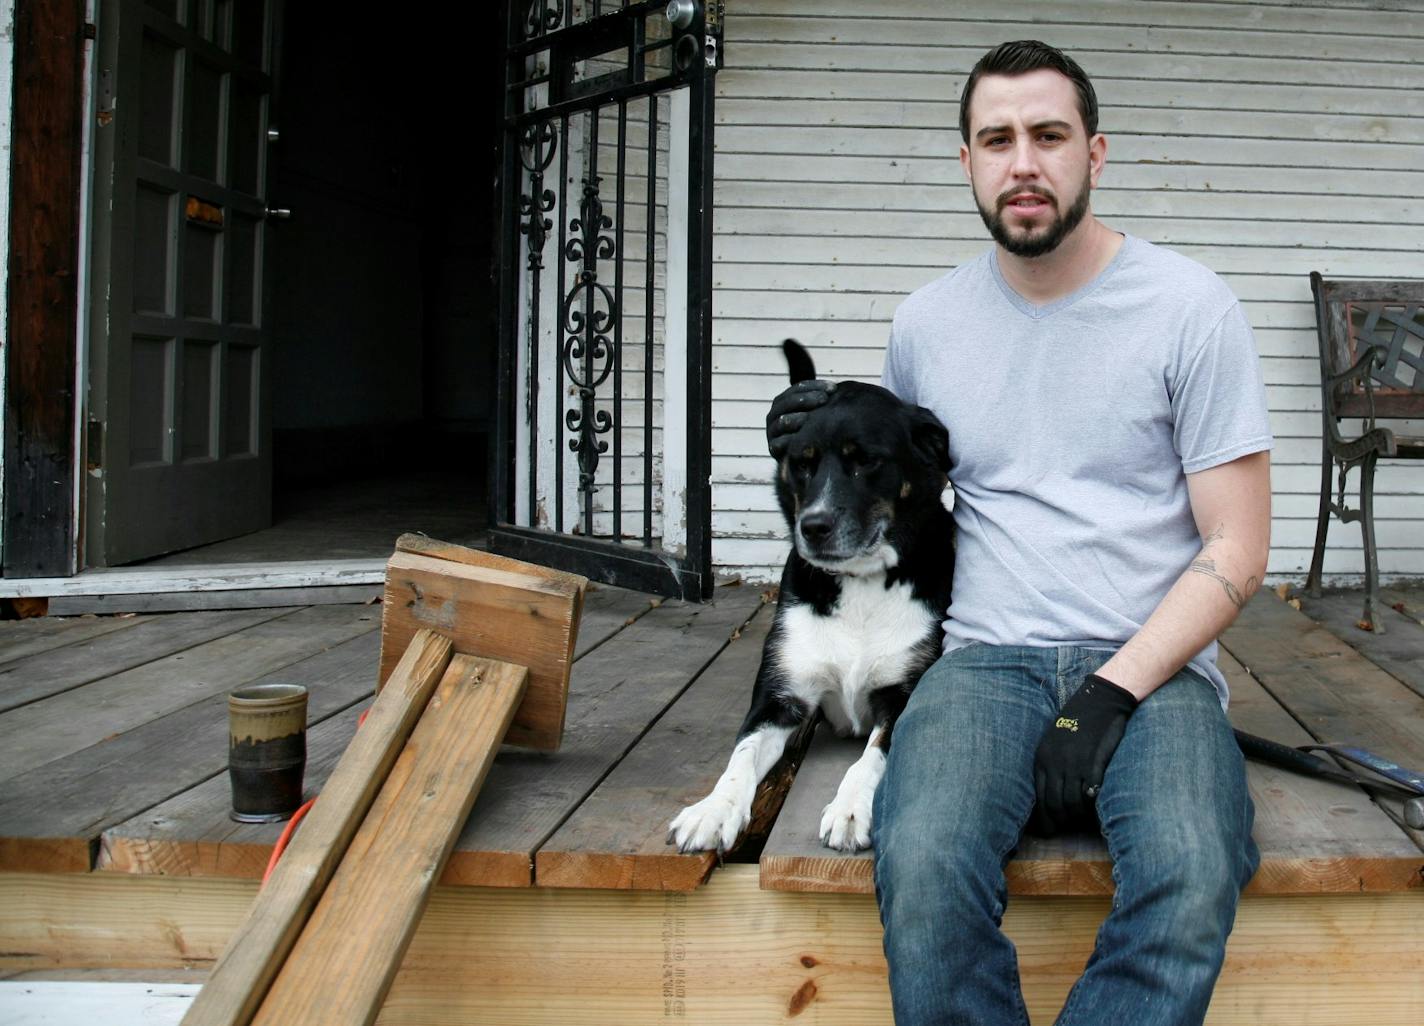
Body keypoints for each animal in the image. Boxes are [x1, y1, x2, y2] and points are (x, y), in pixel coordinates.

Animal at [666, 340, 956, 853]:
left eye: (865, 460)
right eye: (801, 464)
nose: (813, 527)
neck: (861, 583)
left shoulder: (902, 695)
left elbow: (871, 756)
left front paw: (850, 808)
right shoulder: (780, 697)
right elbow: (740, 758)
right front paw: (714, 809)